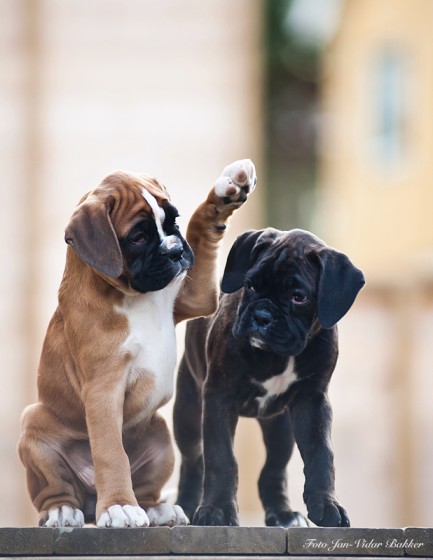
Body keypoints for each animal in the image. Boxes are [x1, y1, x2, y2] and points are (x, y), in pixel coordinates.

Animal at [18, 159, 256, 528]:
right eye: (139, 237)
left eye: (172, 221)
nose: (175, 252)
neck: (130, 294)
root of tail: (90, 500)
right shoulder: (103, 390)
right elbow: (111, 453)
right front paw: (118, 505)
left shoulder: (195, 296)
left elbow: (201, 232)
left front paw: (226, 191)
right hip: (33, 421)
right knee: (54, 490)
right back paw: (63, 511)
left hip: (160, 433)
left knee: (145, 487)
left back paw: (157, 509)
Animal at [172, 225, 364, 528]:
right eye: (250, 285)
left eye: (298, 297)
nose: (262, 316)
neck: (277, 356)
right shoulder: (218, 398)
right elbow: (221, 457)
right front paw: (217, 510)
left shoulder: (312, 402)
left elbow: (320, 454)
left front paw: (327, 506)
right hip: (188, 413)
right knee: (193, 461)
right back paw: (187, 506)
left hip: (280, 427)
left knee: (274, 468)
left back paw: (283, 514)